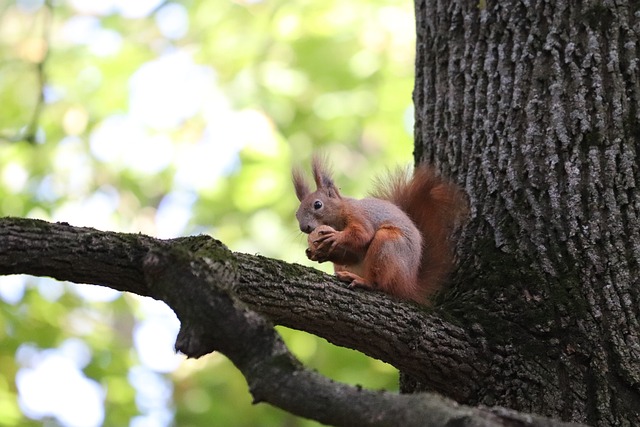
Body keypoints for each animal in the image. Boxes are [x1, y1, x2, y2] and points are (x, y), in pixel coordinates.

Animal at [292, 156, 468, 304]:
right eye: (297, 214)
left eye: (317, 204)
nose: (304, 227)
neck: (339, 216)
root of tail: (409, 285)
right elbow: (351, 256)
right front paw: (317, 253)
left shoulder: (358, 215)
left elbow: (363, 234)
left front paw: (335, 236)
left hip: (387, 245)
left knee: (378, 283)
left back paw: (363, 281)